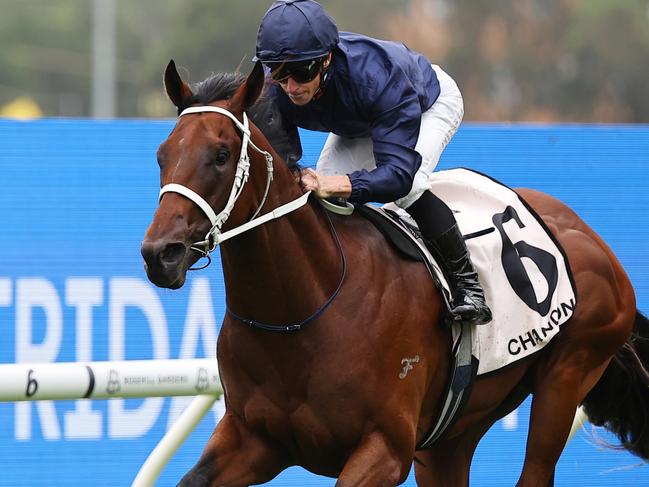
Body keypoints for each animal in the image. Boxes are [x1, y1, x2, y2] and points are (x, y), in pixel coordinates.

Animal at [138, 62, 648, 487]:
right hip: (454, 432)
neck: (301, 313)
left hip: (567, 377)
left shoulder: (385, 449)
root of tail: (589, 237)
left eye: (221, 155)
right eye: (161, 154)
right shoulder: (253, 439)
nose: (160, 254)